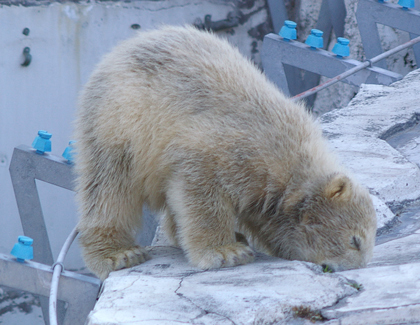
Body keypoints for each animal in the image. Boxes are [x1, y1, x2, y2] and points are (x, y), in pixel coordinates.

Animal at [74, 25, 378, 280]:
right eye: (355, 241)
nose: (347, 270)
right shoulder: (229, 148)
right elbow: (201, 191)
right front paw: (226, 252)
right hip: (120, 122)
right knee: (110, 188)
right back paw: (118, 254)